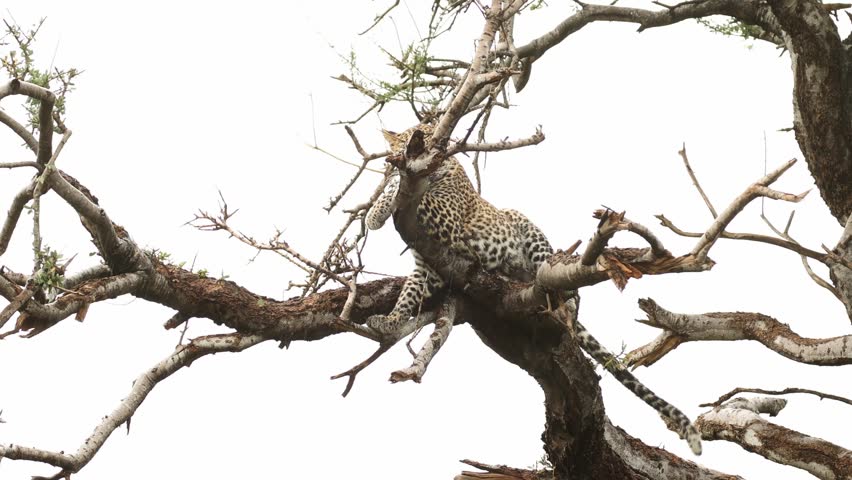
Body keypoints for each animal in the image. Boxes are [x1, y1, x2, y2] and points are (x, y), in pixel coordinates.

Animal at [365, 124, 702, 456]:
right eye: (406, 146)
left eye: (425, 145)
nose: (410, 158)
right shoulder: (426, 266)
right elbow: (408, 294)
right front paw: (390, 320)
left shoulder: (446, 221)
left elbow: (406, 193)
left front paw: (378, 207)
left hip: (526, 227)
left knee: (566, 290)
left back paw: (559, 300)